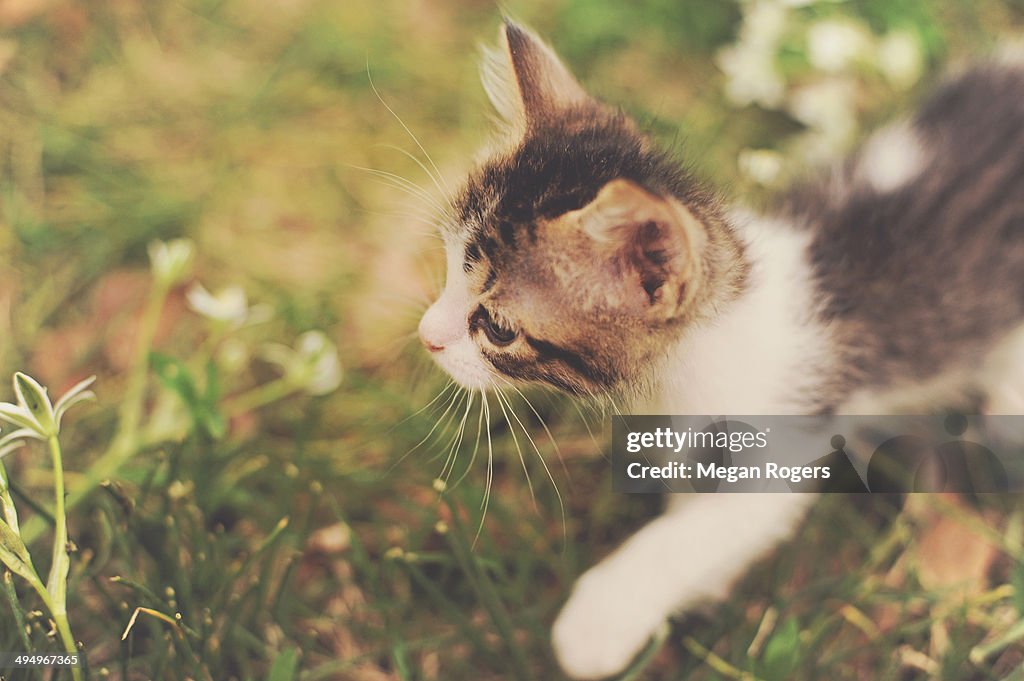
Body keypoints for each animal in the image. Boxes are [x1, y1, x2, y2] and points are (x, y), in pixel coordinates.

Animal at [415, 18, 1024, 675]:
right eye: (449, 266)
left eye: (497, 328)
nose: (425, 334)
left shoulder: (781, 438)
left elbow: (705, 531)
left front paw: (597, 624)